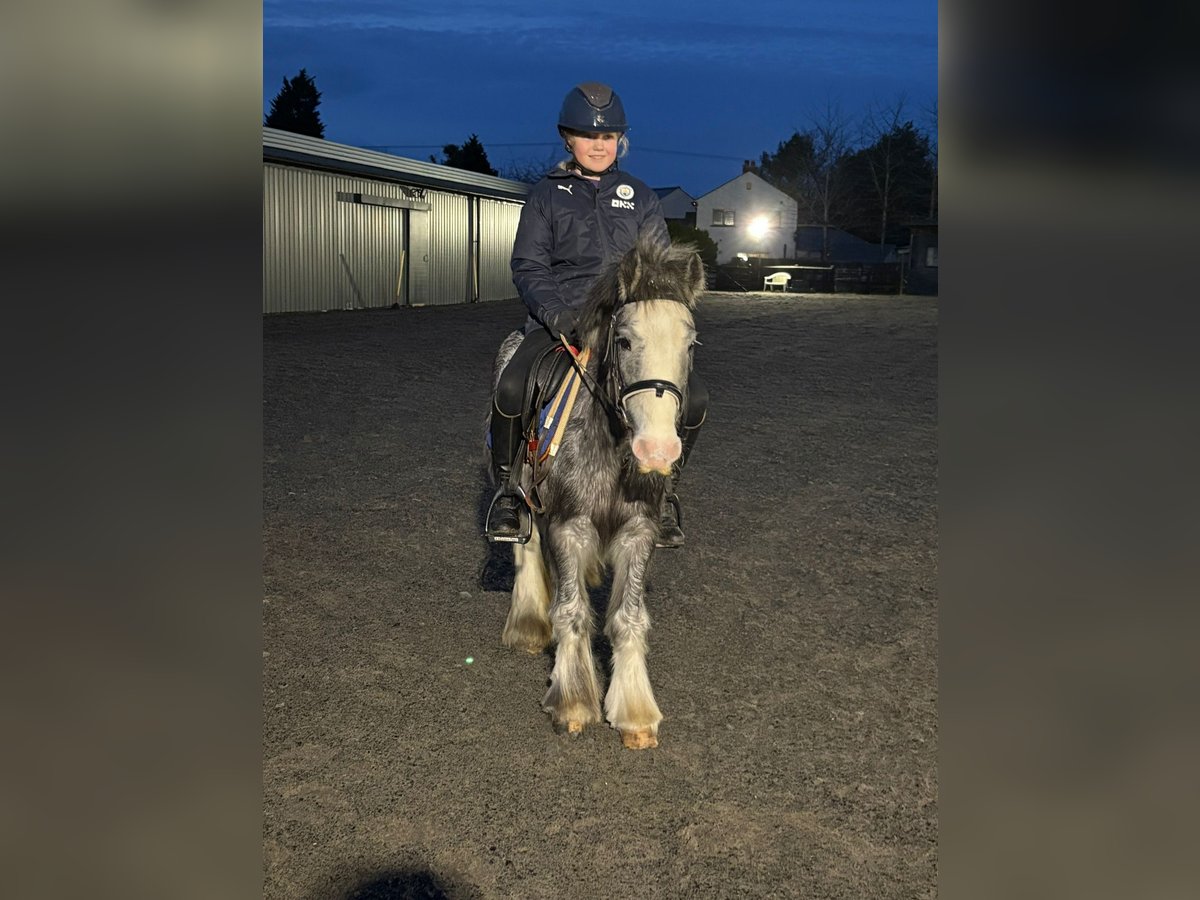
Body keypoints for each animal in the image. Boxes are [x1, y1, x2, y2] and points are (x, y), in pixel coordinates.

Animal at [484, 240, 700, 753]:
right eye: (623, 341)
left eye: (690, 344)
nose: (657, 450)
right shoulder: (569, 525)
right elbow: (573, 612)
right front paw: (572, 702)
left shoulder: (639, 531)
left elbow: (628, 618)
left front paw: (635, 713)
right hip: (524, 496)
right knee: (526, 548)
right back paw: (528, 626)